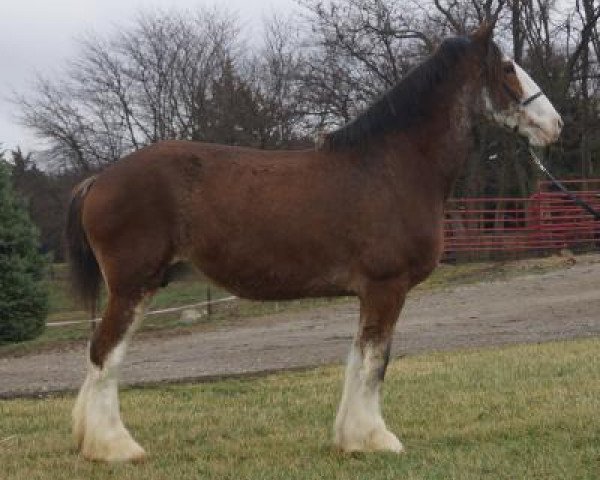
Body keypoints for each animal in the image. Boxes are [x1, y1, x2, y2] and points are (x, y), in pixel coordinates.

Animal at [67, 23, 564, 462]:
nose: (555, 124)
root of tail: (99, 180)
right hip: (133, 286)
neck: (392, 167)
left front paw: (351, 439)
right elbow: (376, 361)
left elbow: (358, 358)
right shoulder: (387, 287)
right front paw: (376, 439)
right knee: (105, 354)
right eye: (507, 67)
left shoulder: (369, 293)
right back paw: (115, 448)